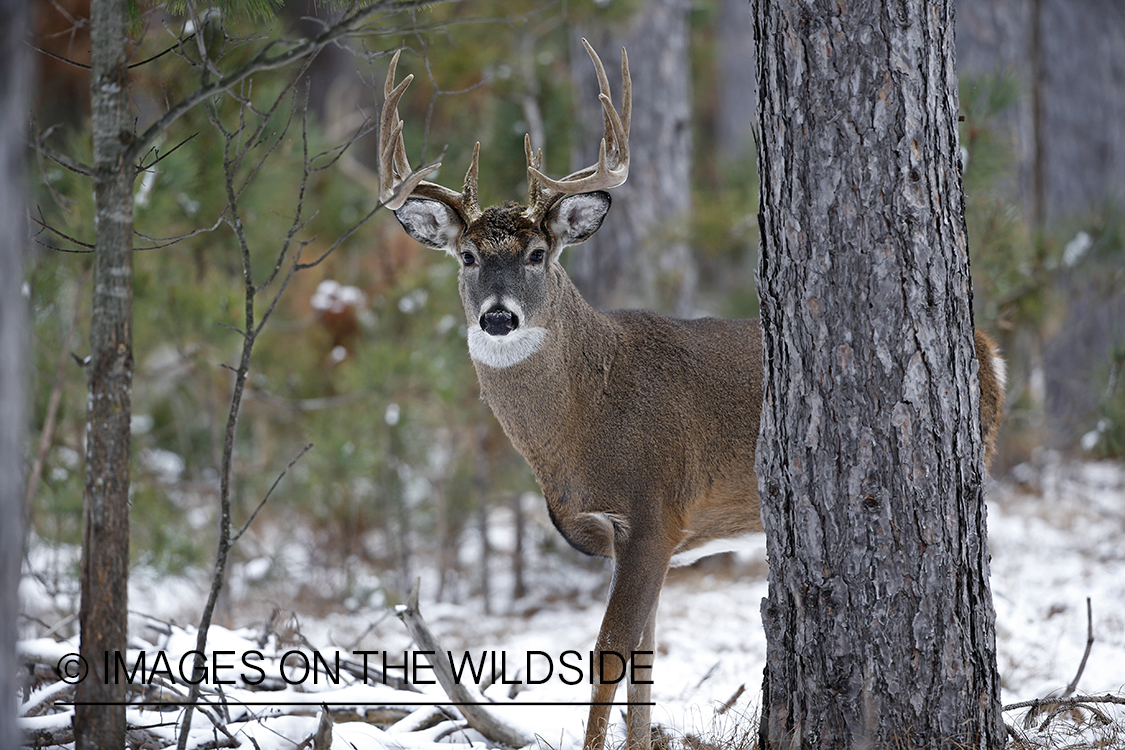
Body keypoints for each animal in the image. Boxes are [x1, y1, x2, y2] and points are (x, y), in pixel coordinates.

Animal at [378, 41, 1012, 750]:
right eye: (466, 256)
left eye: (539, 252)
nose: (496, 316)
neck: (581, 424)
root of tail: (989, 348)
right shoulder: (637, 540)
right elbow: (645, 664)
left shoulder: (655, 509)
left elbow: (609, 653)